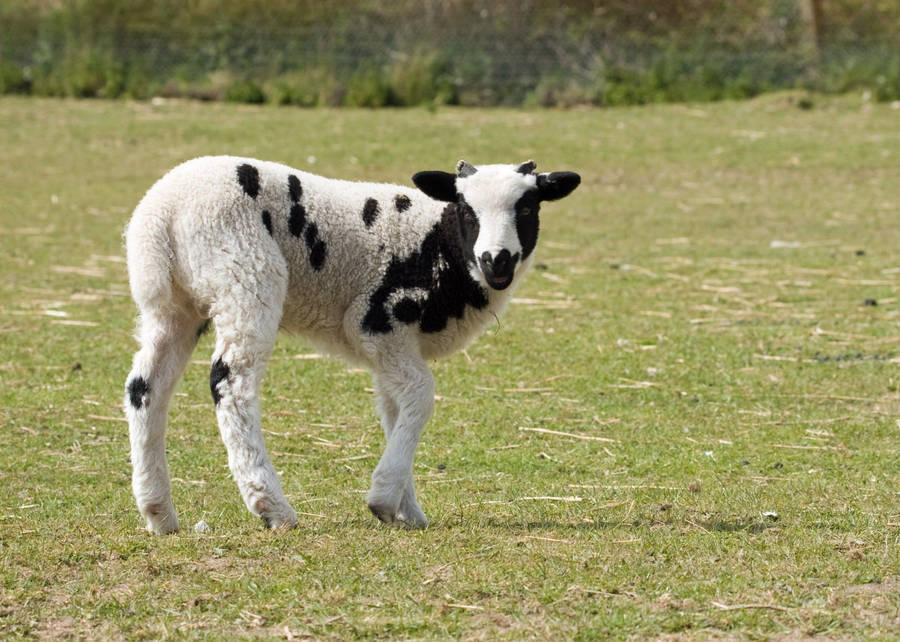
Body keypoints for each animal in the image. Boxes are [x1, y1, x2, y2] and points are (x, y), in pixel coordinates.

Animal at [124, 155, 580, 533]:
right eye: (467, 209)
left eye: (528, 207)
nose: (496, 259)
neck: (440, 244)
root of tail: (162, 214)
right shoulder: (378, 320)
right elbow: (421, 396)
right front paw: (384, 499)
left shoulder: (393, 346)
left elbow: (395, 412)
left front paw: (407, 511)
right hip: (245, 276)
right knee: (230, 385)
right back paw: (272, 506)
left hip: (171, 307)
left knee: (145, 389)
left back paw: (158, 511)